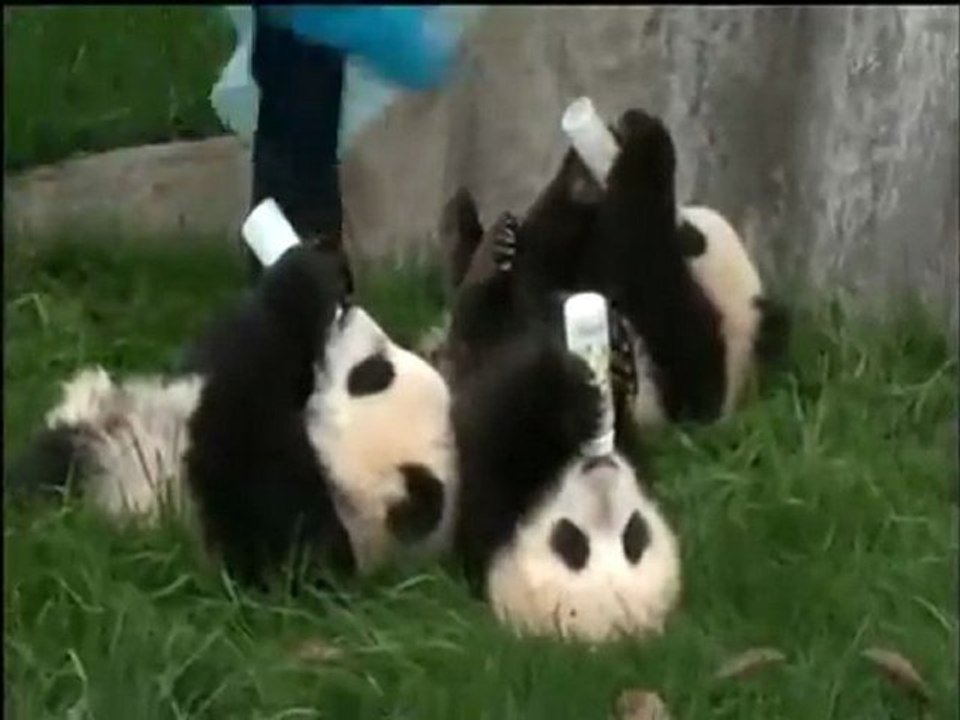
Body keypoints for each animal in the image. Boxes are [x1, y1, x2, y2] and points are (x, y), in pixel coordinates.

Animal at [7, 244, 458, 590]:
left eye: (372, 374)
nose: (350, 313)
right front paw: (320, 269)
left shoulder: (288, 536)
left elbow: (238, 434)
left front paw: (301, 288)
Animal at [431, 107, 789, 430]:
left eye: (695, 237)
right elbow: (555, 251)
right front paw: (587, 170)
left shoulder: (691, 369)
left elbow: (640, 259)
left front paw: (645, 139)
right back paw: (476, 238)